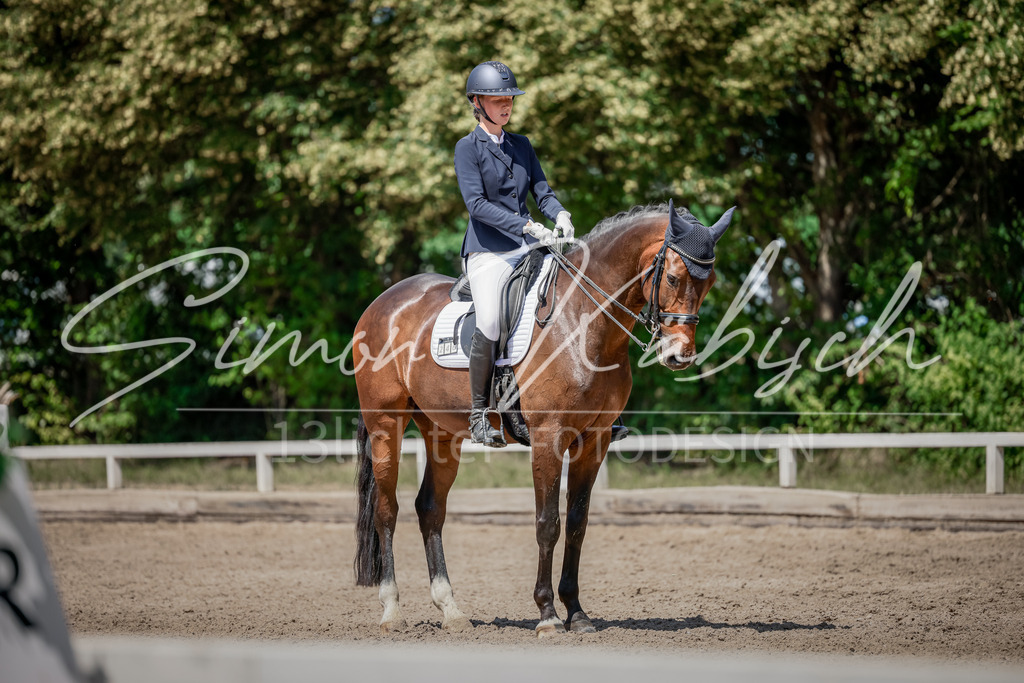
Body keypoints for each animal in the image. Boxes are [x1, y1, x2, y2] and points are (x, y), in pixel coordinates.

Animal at [351, 200, 734, 636]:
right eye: (672, 276)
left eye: (710, 282)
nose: (678, 356)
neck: (583, 323)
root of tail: (382, 302)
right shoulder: (549, 438)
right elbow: (547, 522)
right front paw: (548, 613)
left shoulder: (594, 440)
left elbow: (578, 524)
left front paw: (577, 613)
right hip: (386, 425)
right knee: (386, 510)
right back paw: (391, 611)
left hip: (442, 433)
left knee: (430, 509)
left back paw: (451, 610)